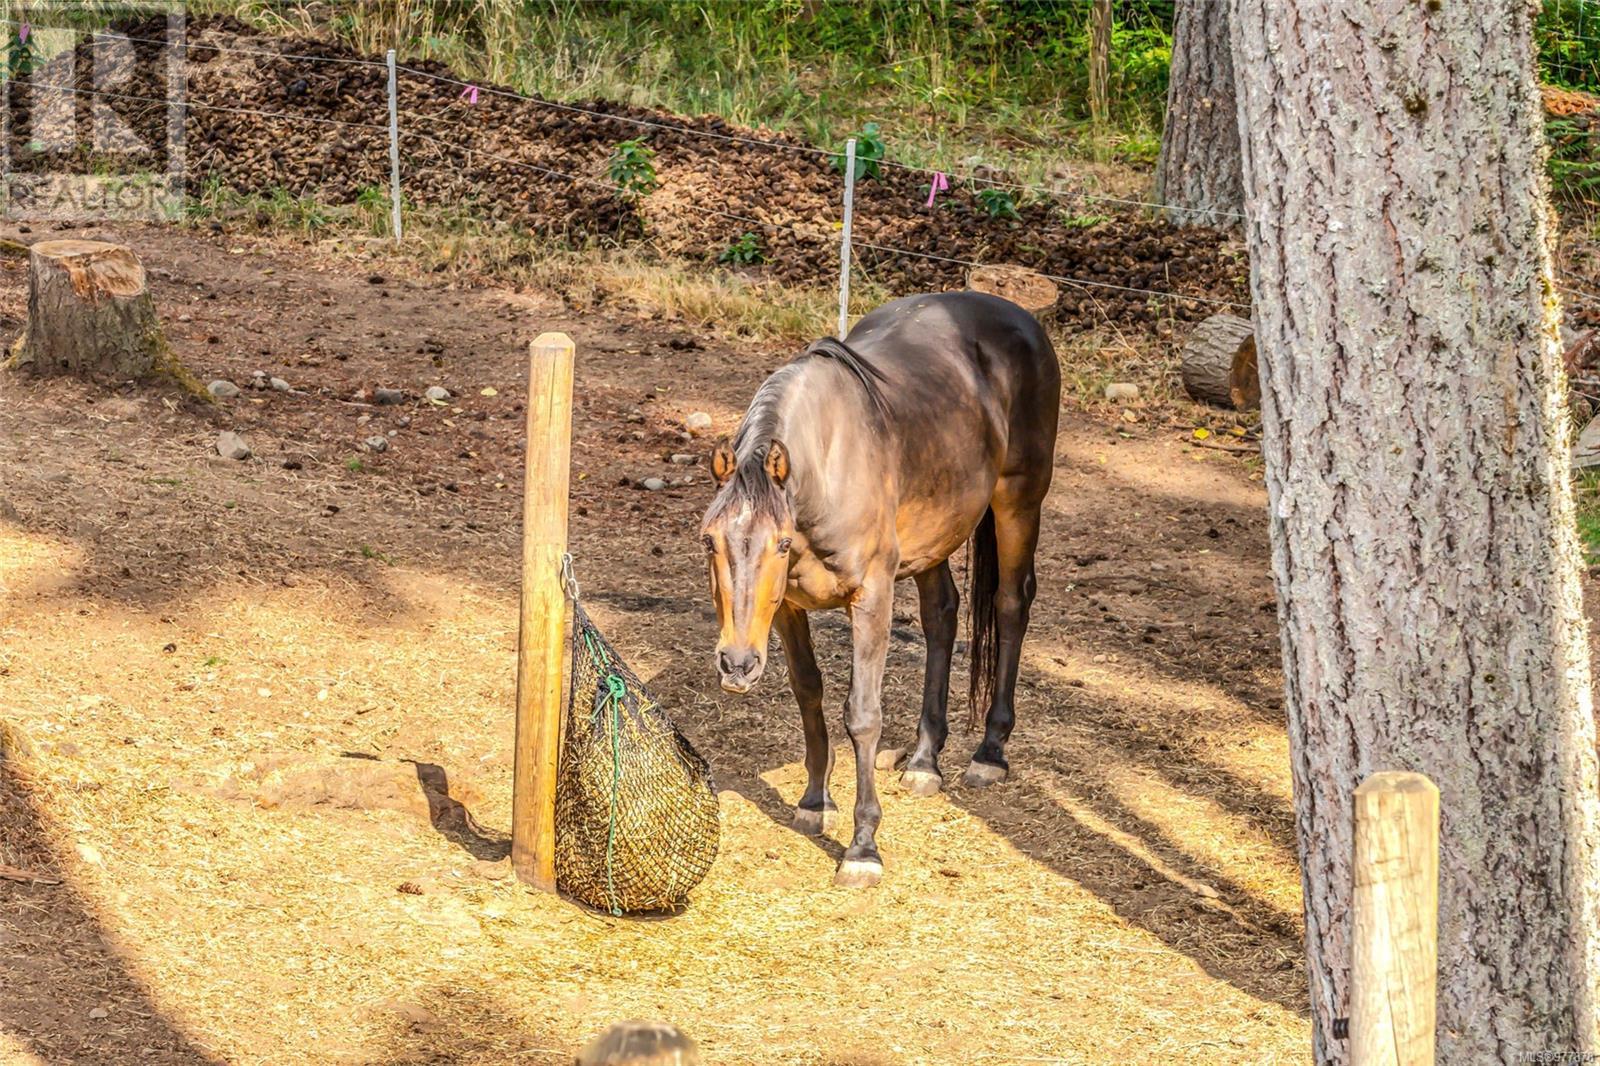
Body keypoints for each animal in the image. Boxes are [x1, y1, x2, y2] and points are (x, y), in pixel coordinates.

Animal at [700, 291, 1062, 889]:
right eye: (709, 540)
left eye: (780, 543)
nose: (736, 664)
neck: (824, 471)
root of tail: (1021, 318)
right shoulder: (787, 609)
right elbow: (808, 691)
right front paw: (815, 800)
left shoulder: (871, 596)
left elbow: (862, 715)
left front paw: (862, 847)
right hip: (933, 537)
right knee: (942, 614)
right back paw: (924, 760)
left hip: (1018, 501)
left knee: (1011, 606)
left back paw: (989, 751)